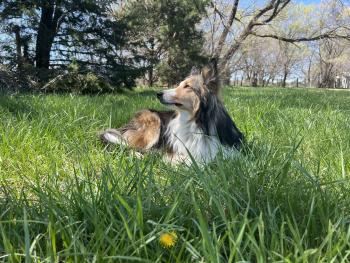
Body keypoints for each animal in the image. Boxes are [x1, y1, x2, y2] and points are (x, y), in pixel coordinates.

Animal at [100, 60, 243, 165]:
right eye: (180, 84)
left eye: (187, 86)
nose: (158, 94)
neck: (198, 123)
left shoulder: (232, 151)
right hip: (153, 122)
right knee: (128, 148)